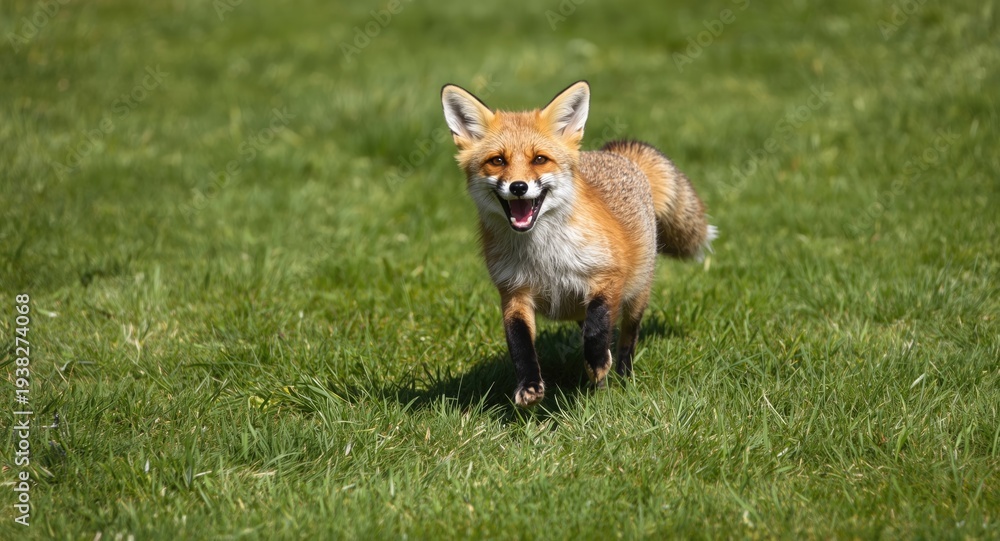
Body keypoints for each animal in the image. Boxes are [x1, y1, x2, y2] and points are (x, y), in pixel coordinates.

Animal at [440, 80, 717, 408]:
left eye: (539, 159)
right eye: (497, 161)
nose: (518, 187)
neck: (544, 257)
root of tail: (615, 155)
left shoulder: (607, 277)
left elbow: (598, 328)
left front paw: (597, 363)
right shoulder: (514, 293)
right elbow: (520, 344)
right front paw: (529, 386)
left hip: (637, 294)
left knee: (627, 336)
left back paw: (622, 375)